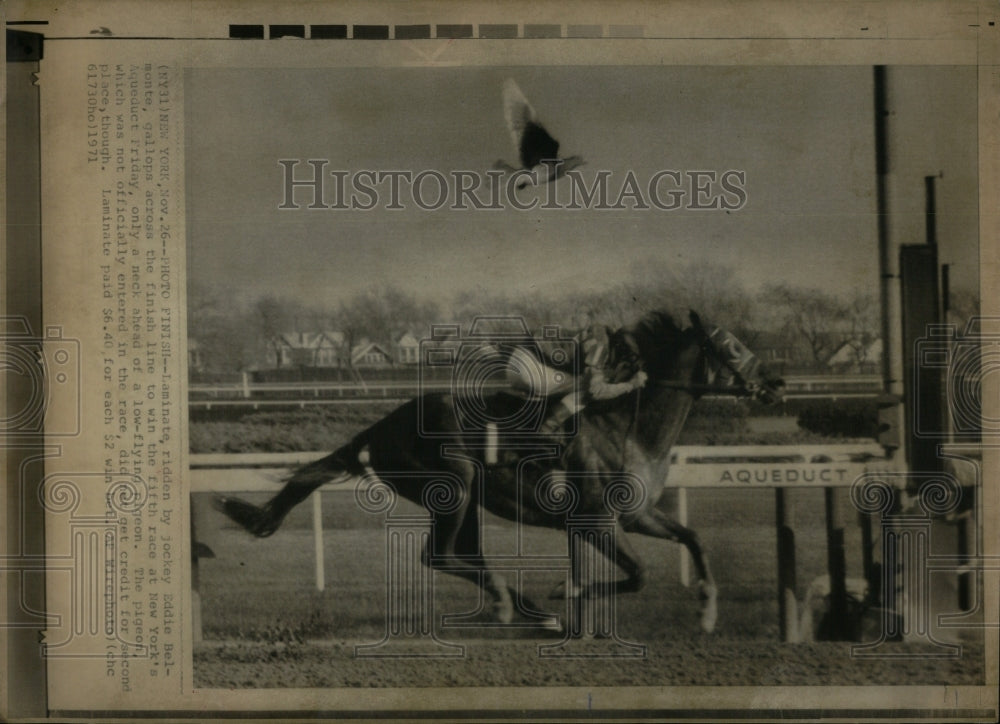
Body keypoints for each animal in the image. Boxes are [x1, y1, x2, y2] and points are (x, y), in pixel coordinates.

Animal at [217, 312, 780, 632]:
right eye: (733, 347)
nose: (776, 383)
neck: (629, 428)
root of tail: (379, 428)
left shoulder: (638, 515)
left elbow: (694, 538)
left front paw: (708, 610)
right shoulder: (597, 520)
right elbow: (638, 574)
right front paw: (567, 594)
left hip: (464, 497)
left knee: (462, 554)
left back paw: (523, 606)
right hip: (455, 483)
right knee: (440, 555)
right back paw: (521, 604)